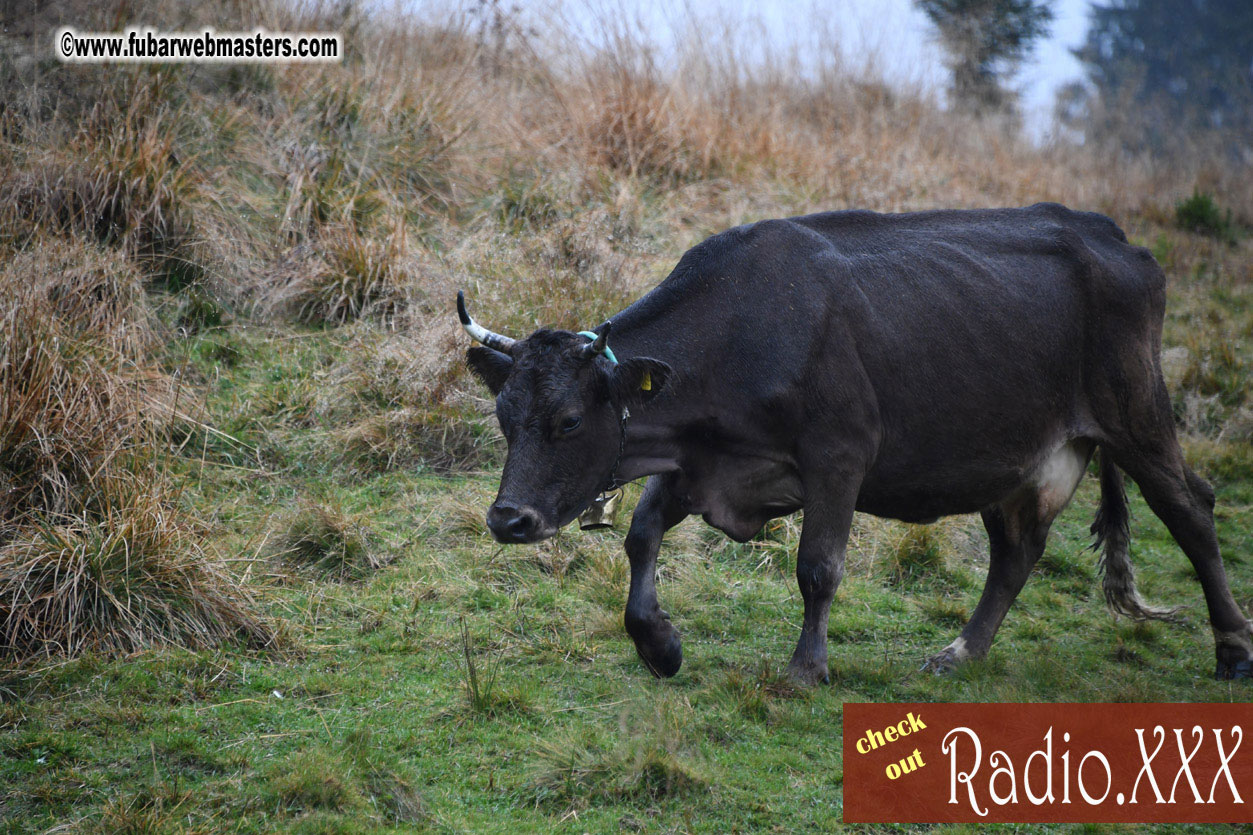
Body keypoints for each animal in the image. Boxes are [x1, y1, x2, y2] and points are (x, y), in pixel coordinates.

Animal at [458, 203, 1253, 682]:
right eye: (503, 414)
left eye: (568, 420)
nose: (508, 519)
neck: (742, 328)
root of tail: (1112, 235)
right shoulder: (705, 462)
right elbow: (641, 535)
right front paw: (659, 643)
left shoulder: (839, 456)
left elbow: (818, 567)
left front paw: (804, 668)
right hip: (1012, 458)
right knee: (1016, 551)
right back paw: (960, 651)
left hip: (1137, 416)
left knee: (1192, 510)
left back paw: (1233, 648)